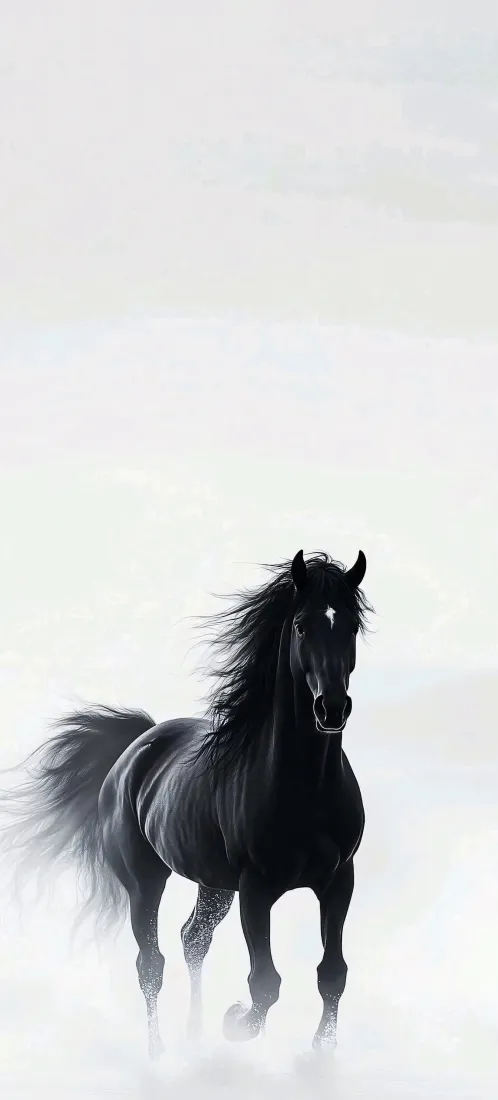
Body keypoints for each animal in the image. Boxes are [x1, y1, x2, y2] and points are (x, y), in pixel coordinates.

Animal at [0, 549, 373, 1057]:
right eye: (301, 625)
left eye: (351, 626)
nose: (331, 709)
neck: (305, 789)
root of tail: (135, 749)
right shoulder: (257, 888)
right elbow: (265, 982)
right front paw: (235, 1022)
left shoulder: (338, 880)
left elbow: (332, 973)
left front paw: (322, 1049)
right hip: (145, 881)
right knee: (151, 963)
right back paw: (159, 1051)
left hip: (213, 883)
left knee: (193, 939)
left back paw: (193, 1033)